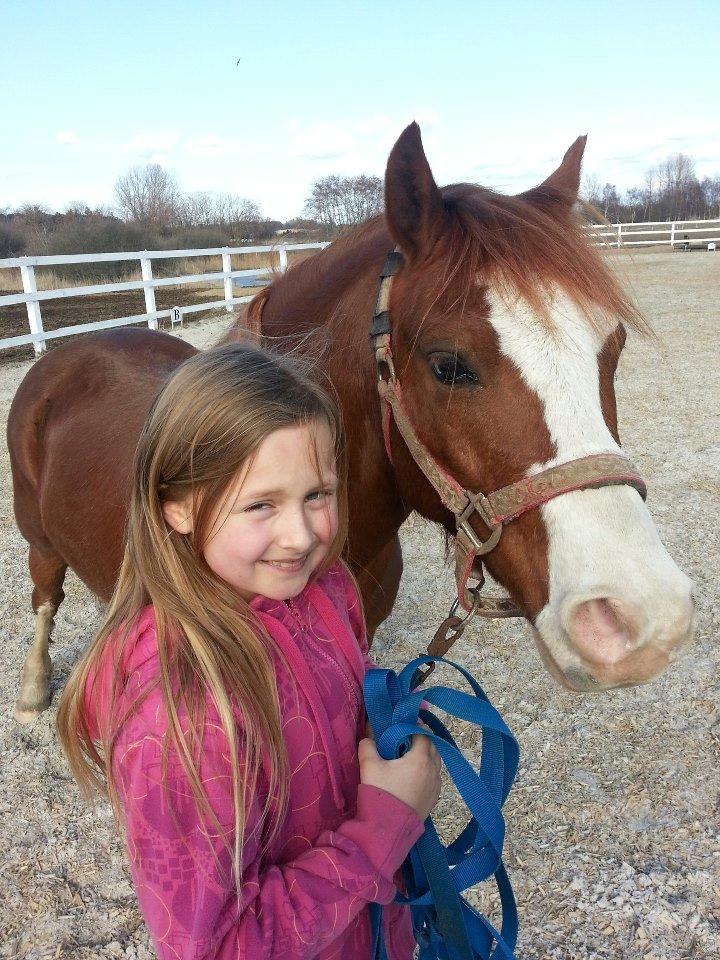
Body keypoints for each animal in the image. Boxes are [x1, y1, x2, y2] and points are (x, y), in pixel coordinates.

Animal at [8, 123, 694, 723]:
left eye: (614, 347)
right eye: (448, 365)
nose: (642, 618)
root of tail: (75, 347)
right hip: (37, 538)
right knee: (45, 596)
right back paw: (34, 689)